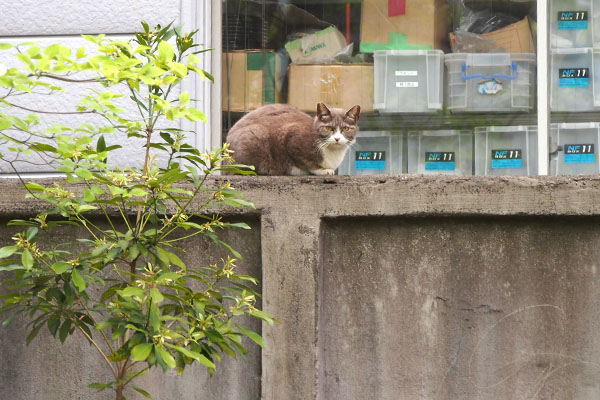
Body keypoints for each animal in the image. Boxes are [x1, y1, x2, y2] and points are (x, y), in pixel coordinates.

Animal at [224, 102, 358, 174]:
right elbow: (308, 163)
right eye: (329, 128)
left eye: (346, 129)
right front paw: (323, 170)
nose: (337, 139)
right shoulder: (291, 137)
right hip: (254, 135)